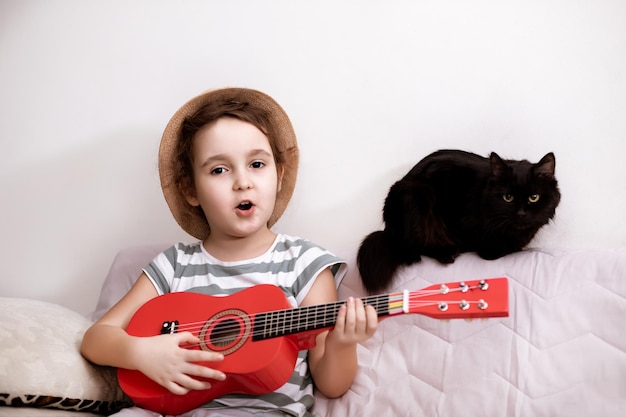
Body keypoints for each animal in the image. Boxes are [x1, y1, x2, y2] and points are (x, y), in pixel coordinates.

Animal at [356, 150, 560, 292]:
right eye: (508, 197)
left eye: (534, 197)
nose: (521, 213)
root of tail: (388, 231)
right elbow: (500, 249)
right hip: (415, 196)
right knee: (412, 250)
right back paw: (447, 252)